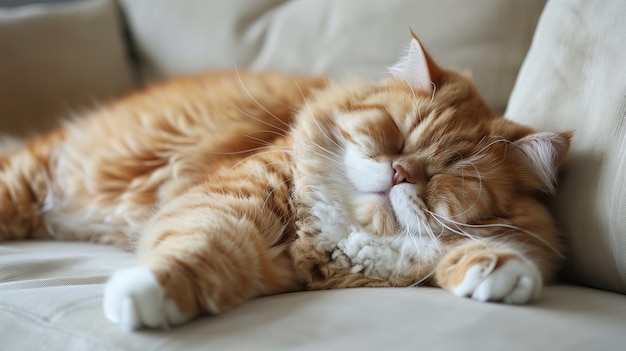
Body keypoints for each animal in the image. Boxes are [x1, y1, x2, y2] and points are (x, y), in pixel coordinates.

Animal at [0, 33, 568, 332]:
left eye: (448, 175)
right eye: (397, 136)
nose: (400, 173)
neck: (342, 237)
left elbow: (470, 252)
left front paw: (500, 269)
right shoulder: (227, 204)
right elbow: (196, 247)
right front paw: (142, 293)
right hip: (25, 183)